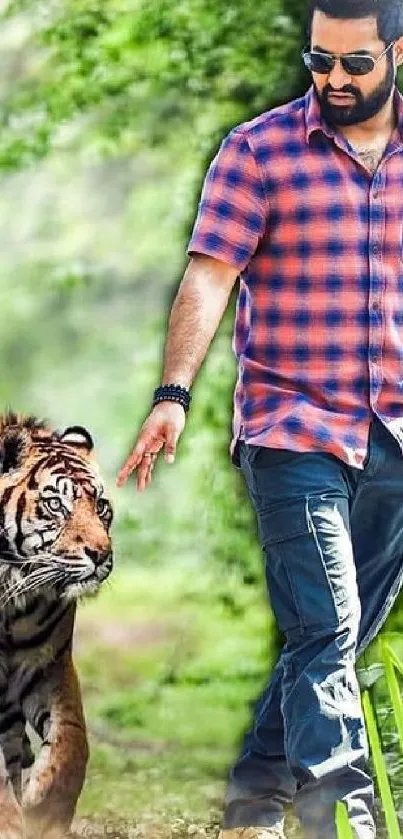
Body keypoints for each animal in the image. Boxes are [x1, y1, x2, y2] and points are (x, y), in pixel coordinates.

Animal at [0, 414, 113, 839]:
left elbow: (72, 741)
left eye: (101, 506)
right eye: (55, 505)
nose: (102, 554)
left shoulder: (48, 665)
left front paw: (44, 812)